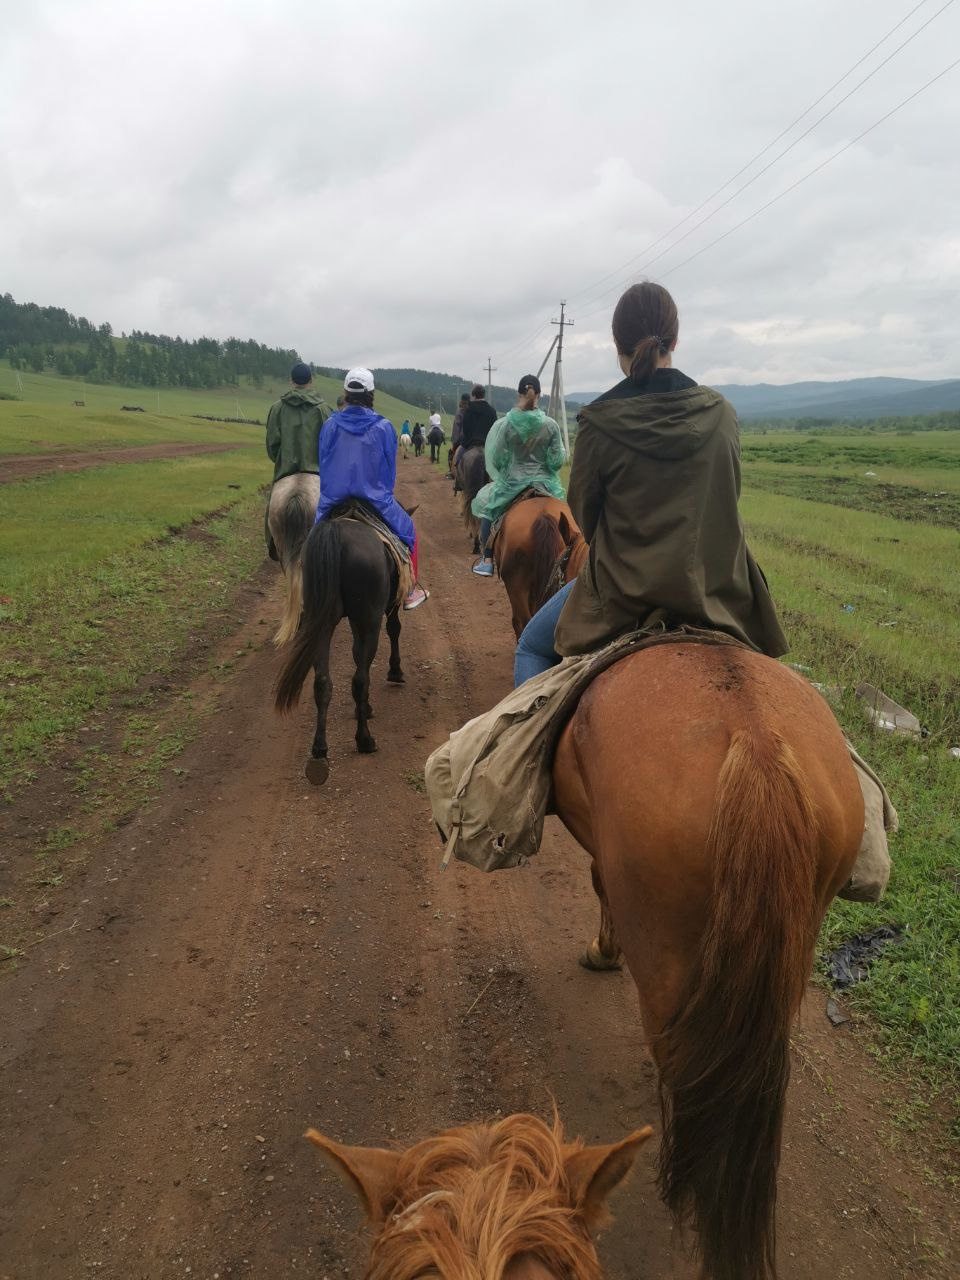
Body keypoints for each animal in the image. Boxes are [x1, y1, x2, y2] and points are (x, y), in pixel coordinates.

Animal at [272, 509, 407, 778]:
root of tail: (334, 531)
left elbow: (355, 653)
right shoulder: (384, 608)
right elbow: (393, 629)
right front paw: (395, 672)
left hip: (320, 621)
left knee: (322, 682)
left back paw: (319, 751)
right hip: (368, 618)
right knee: (360, 679)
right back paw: (364, 740)